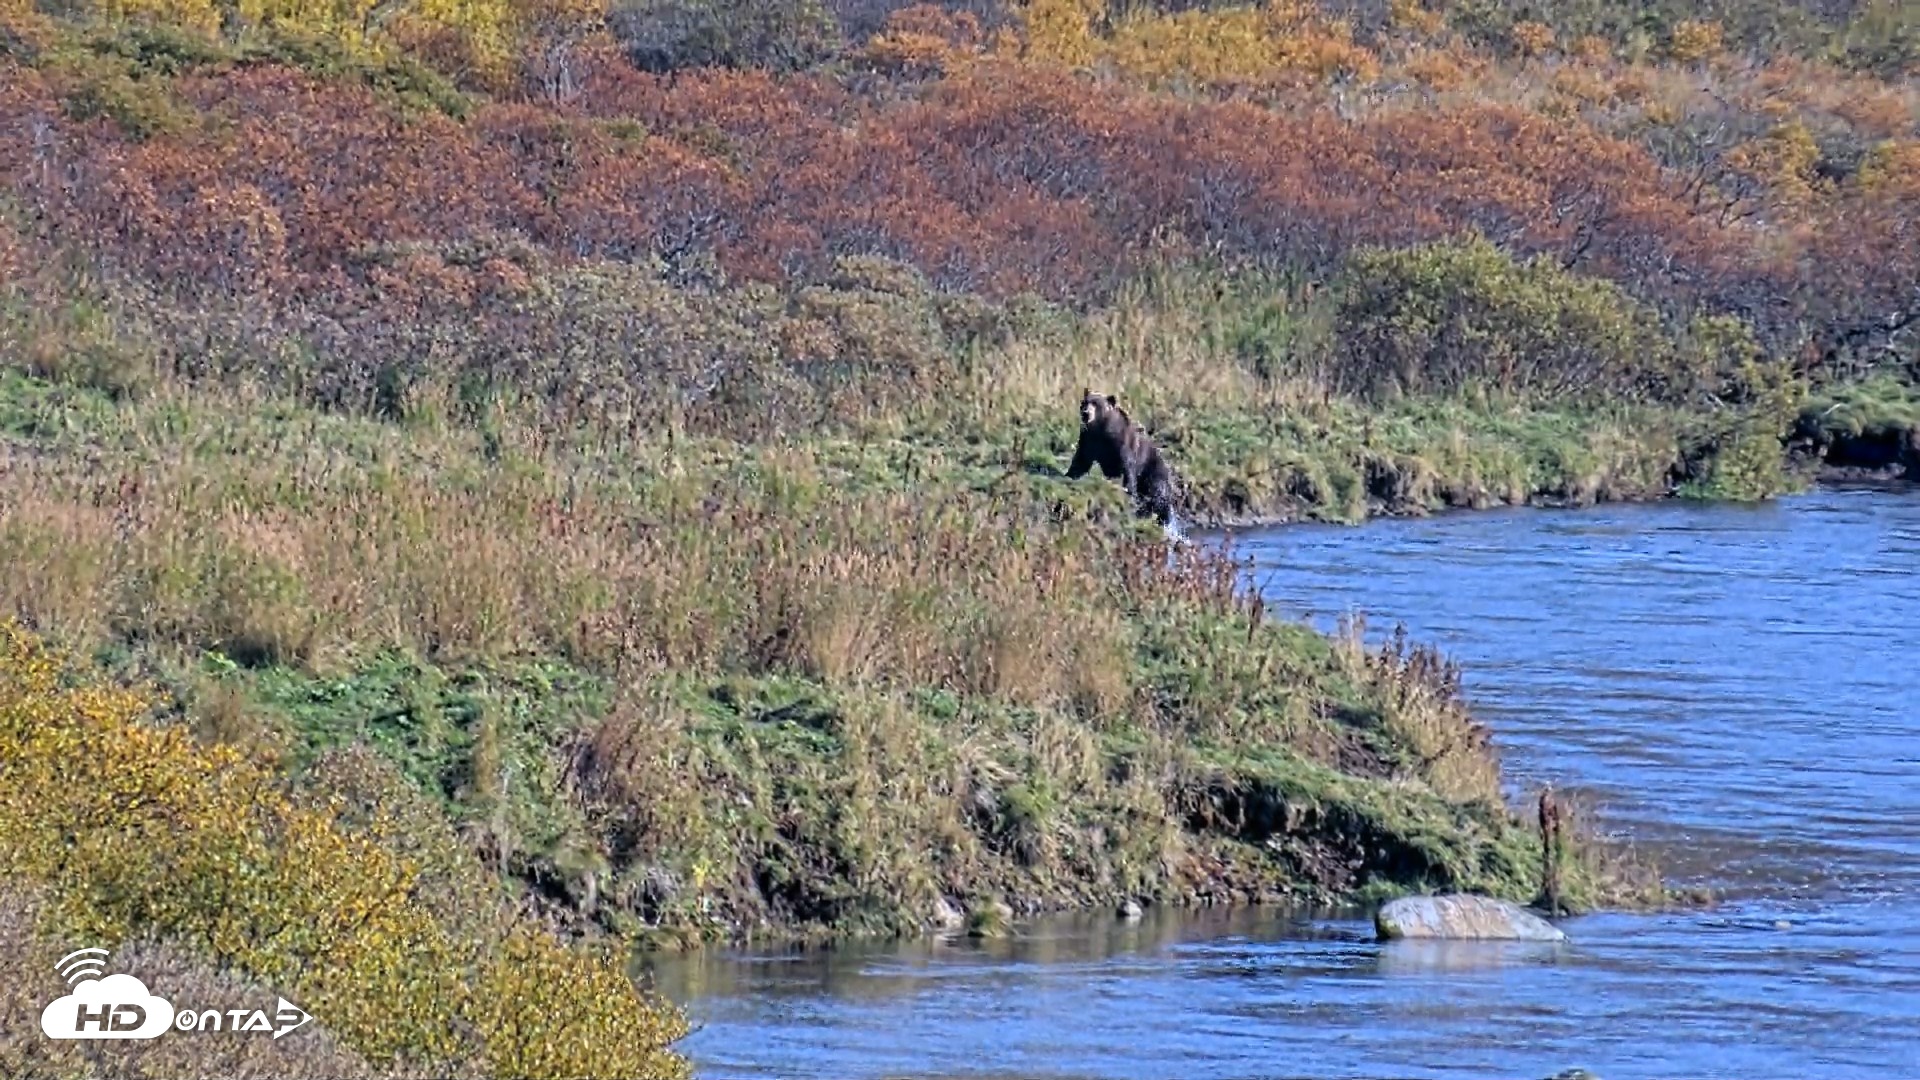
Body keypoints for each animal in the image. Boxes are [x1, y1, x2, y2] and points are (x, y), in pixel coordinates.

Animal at [1065, 388, 1180, 527]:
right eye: (1084, 402)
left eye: (1096, 404)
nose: (1085, 413)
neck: (1102, 431)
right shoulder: (1089, 440)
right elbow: (1081, 461)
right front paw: (1069, 475)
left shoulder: (1123, 446)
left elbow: (1127, 469)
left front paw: (1128, 492)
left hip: (1154, 471)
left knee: (1157, 492)